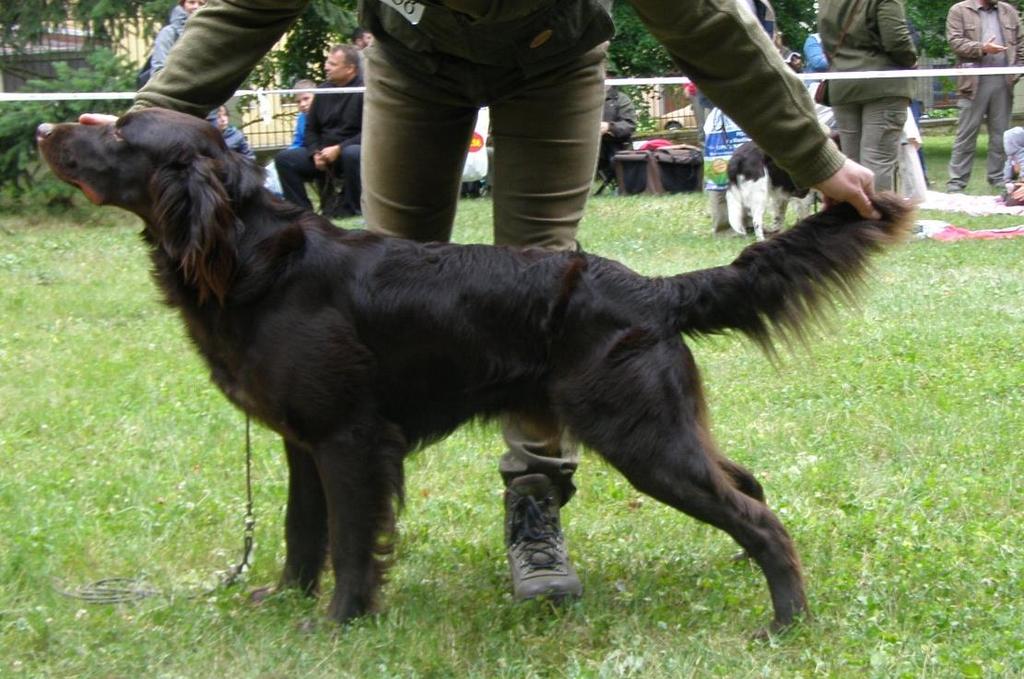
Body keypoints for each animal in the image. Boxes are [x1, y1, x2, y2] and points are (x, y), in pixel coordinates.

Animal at [34, 109, 913, 634]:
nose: (44, 124)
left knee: (759, 515)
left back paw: (786, 619)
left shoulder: (351, 439)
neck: (250, 257)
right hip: (661, 427)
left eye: (119, 132)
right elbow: (299, 530)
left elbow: (351, 542)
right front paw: (282, 599)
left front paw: (337, 620)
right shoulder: (302, 440)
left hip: (641, 436)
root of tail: (655, 289)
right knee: (749, 485)